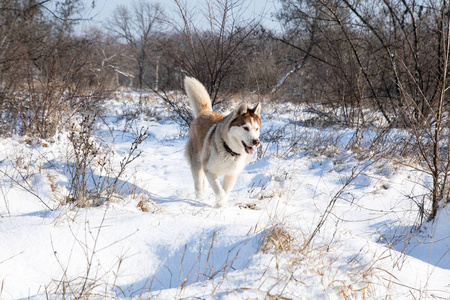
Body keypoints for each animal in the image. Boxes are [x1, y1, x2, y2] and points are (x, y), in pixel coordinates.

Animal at [185, 76, 262, 206]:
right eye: (246, 128)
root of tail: (205, 112)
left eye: (256, 128)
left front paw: (221, 205)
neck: (230, 151)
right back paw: (200, 199)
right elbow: (219, 191)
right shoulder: (209, 170)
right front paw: (220, 204)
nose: (256, 141)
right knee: (198, 183)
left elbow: (225, 191)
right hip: (197, 163)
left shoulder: (231, 175)